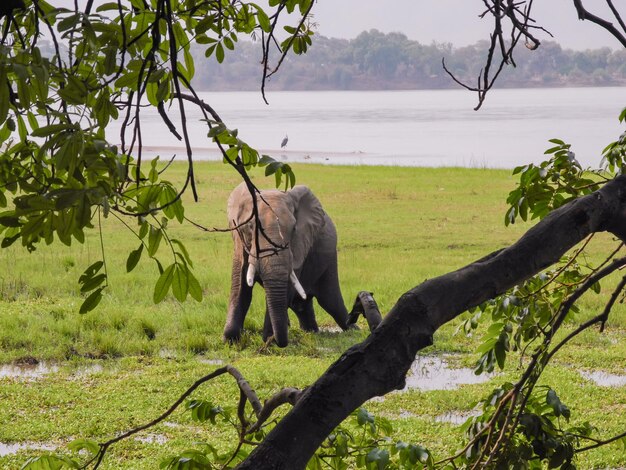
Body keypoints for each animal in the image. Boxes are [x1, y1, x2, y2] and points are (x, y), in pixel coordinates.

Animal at [224, 182, 352, 346]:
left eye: (294, 229)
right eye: (250, 227)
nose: (279, 340)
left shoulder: (298, 247)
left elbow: (285, 289)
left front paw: (269, 341)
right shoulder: (239, 243)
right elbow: (240, 287)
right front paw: (230, 340)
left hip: (328, 258)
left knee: (330, 301)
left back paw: (354, 330)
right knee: (303, 304)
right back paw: (311, 332)